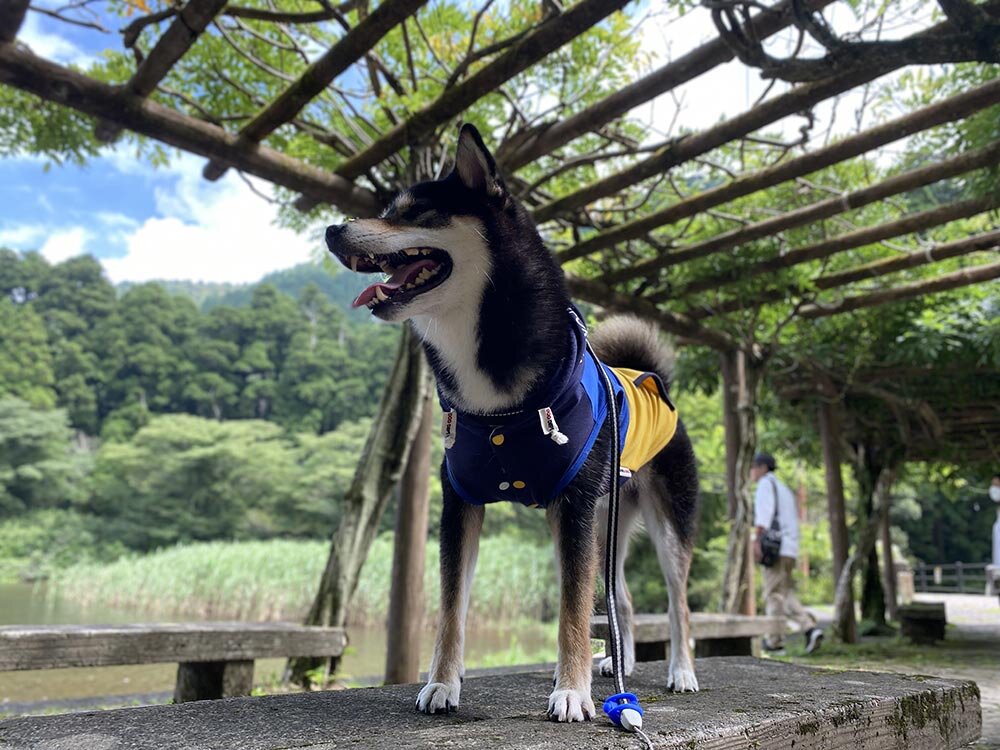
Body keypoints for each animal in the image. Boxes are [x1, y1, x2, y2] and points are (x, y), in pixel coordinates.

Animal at [324, 126, 700, 724]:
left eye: (416, 213)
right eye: (387, 210)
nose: (333, 230)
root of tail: (650, 378)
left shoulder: (571, 507)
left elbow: (571, 610)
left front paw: (570, 693)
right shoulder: (461, 503)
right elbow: (451, 607)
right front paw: (442, 684)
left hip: (662, 520)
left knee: (677, 601)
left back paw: (680, 672)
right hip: (604, 520)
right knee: (620, 595)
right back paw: (618, 669)